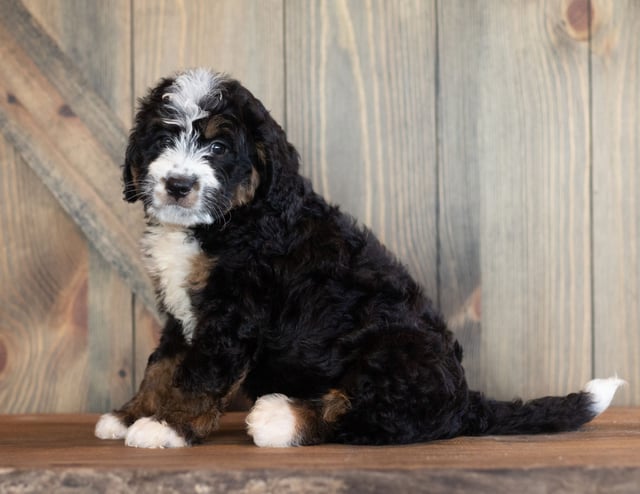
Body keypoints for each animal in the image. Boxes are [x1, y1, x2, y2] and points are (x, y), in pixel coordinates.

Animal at [92, 67, 624, 450]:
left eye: (219, 146)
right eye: (163, 139)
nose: (178, 184)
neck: (230, 220)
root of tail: (465, 400)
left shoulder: (233, 311)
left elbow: (198, 375)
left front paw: (167, 427)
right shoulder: (183, 315)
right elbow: (163, 365)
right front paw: (130, 415)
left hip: (392, 350)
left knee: (375, 417)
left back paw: (282, 418)